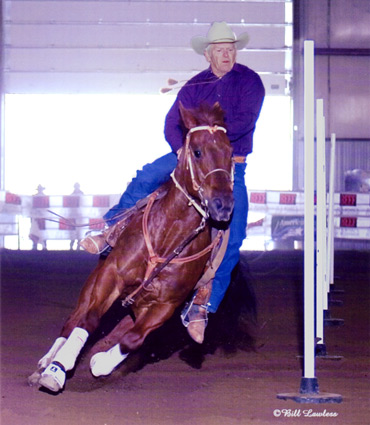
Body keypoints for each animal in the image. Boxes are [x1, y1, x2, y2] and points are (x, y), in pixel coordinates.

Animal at [31, 101, 234, 392]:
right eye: (197, 152)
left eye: (230, 153)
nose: (223, 204)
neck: (166, 238)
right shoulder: (111, 276)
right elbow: (89, 320)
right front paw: (57, 370)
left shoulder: (165, 305)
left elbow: (132, 339)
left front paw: (100, 363)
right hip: (94, 281)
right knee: (73, 320)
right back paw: (48, 361)